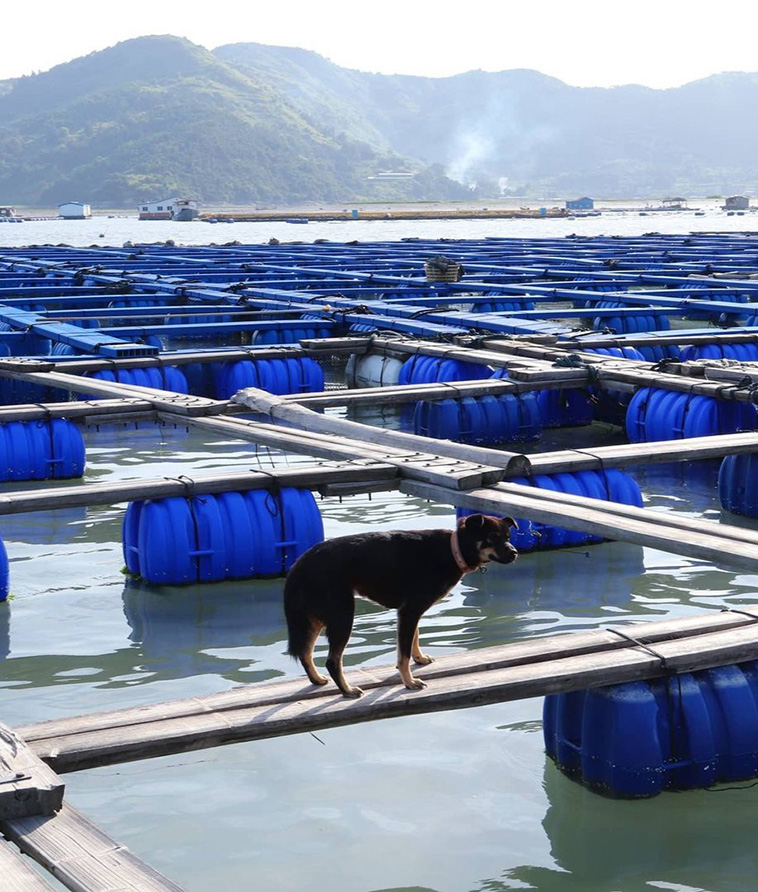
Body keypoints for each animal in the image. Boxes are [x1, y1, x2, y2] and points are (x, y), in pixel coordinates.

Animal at [282, 516, 520, 696]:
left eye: (508, 537)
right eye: (492, 538)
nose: (515, 552)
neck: (453, 551)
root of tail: (300, 563)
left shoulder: (411, 613)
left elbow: (414, 638)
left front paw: (420, 659)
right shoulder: (409, 611)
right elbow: (403, 655)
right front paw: (409, 682)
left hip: (315, 618)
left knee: (305, 652)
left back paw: (316, 679)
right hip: (342, 616)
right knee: (332, 661)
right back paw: (347, 690)